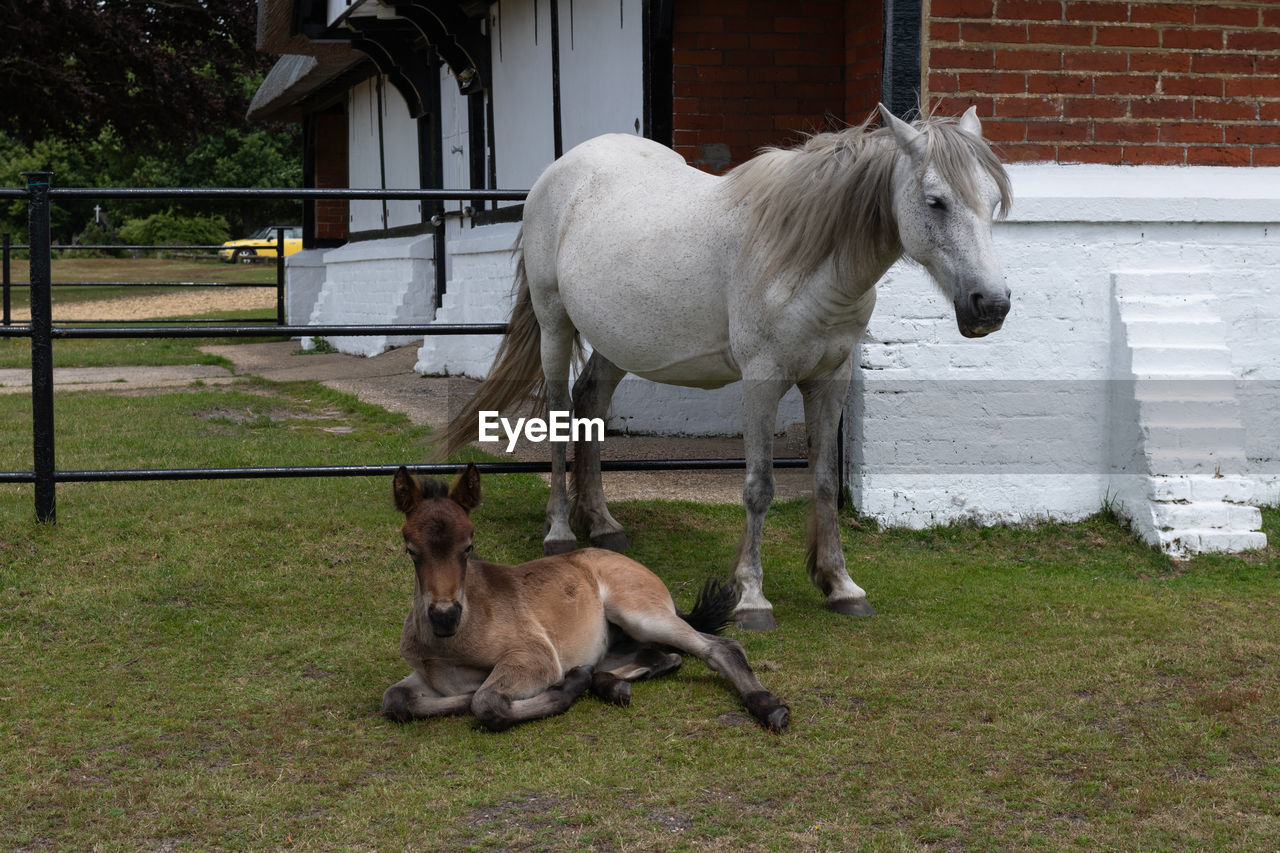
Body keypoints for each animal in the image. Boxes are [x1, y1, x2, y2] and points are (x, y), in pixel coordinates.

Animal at [448, 104, 1008, 625]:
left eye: (994, 202)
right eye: (936, 201)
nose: (991, 305)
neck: (802, 259)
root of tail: (560, 171)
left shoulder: (830, 381)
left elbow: (826, 482)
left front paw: (841, 585)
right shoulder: (762, 382)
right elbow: (759, 489)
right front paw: (751, 598)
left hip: (617, 338)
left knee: (591, 402)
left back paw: (603, 524)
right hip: (555, 324)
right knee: (562, 413)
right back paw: (561, 531)